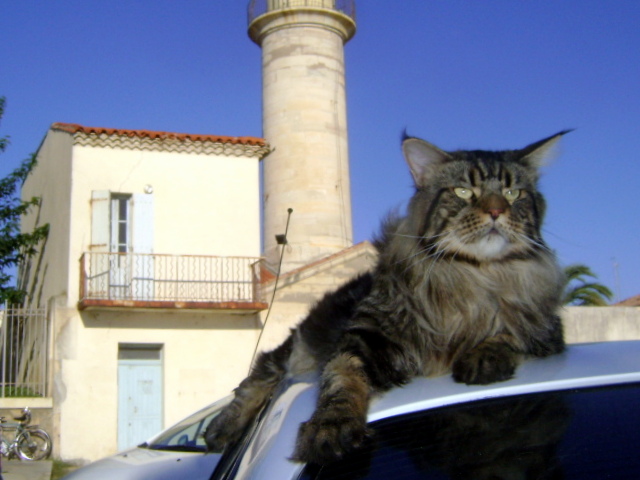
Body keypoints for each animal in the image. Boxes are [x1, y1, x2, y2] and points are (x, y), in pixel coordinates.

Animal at [204, 131, 564, 464]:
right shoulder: (364, 335)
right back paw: (224, 426)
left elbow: (513, 333)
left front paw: (486, 354)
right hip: (302, 345)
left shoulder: (547, 328)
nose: (496, 211)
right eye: (463, 191)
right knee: (266, 367)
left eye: (513, 193)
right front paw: (331, 426)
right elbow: (343, 377)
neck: (473, 275)